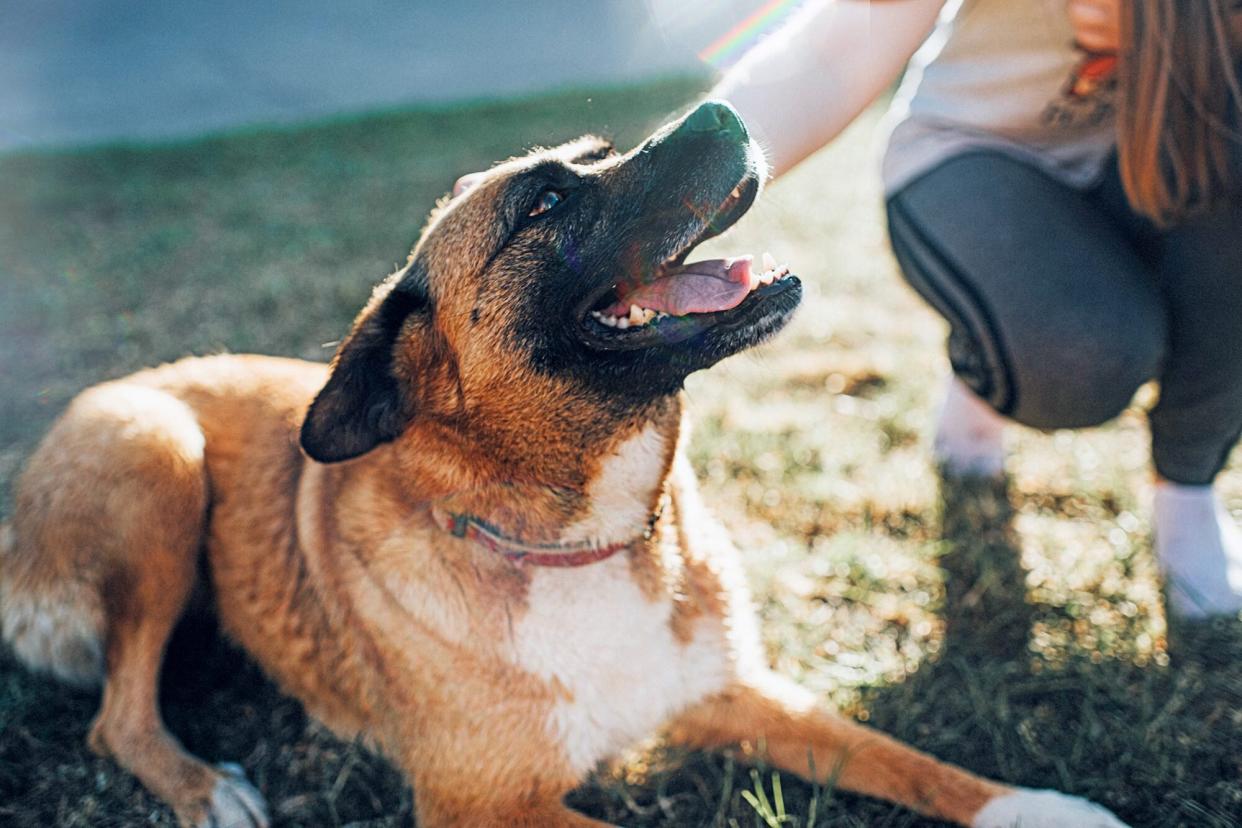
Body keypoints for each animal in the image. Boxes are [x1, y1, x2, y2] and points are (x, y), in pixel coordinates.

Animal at [0, 100, 1127, 824]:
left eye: (602, 153)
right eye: (542, 204)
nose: (722, 109)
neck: (585, 536)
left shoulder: (732, 692)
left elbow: (898, 756)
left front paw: (1039, 810)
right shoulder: (482, 809)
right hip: (160, 453)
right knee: (114, 716)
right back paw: (201, 786)